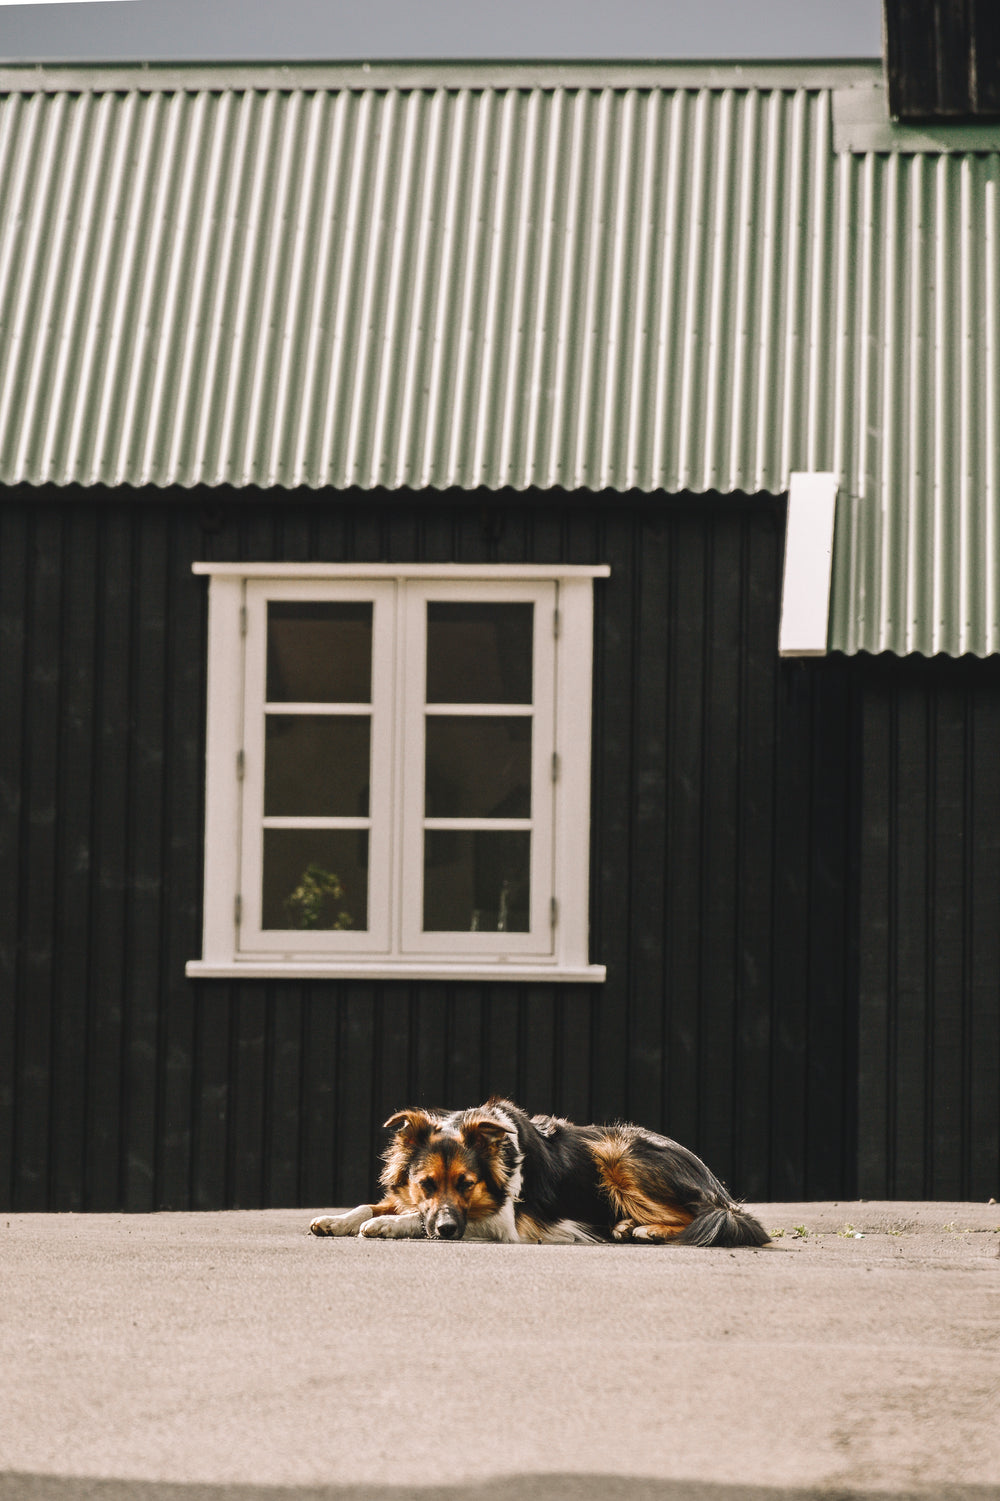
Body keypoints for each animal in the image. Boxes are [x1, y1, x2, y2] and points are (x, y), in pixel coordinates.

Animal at [307, 1098, 765, 1248]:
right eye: (426, 1184)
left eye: (467, 1184)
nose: (448, 1231)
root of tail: (718, 1189)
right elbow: (371, 1204)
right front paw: (334, 1219)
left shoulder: (502, 1224)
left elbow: (411, 1219)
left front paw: (387, 1225)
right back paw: (625, 1227)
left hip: (617, 1153)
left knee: (702, 1217)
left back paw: (646, 1229)